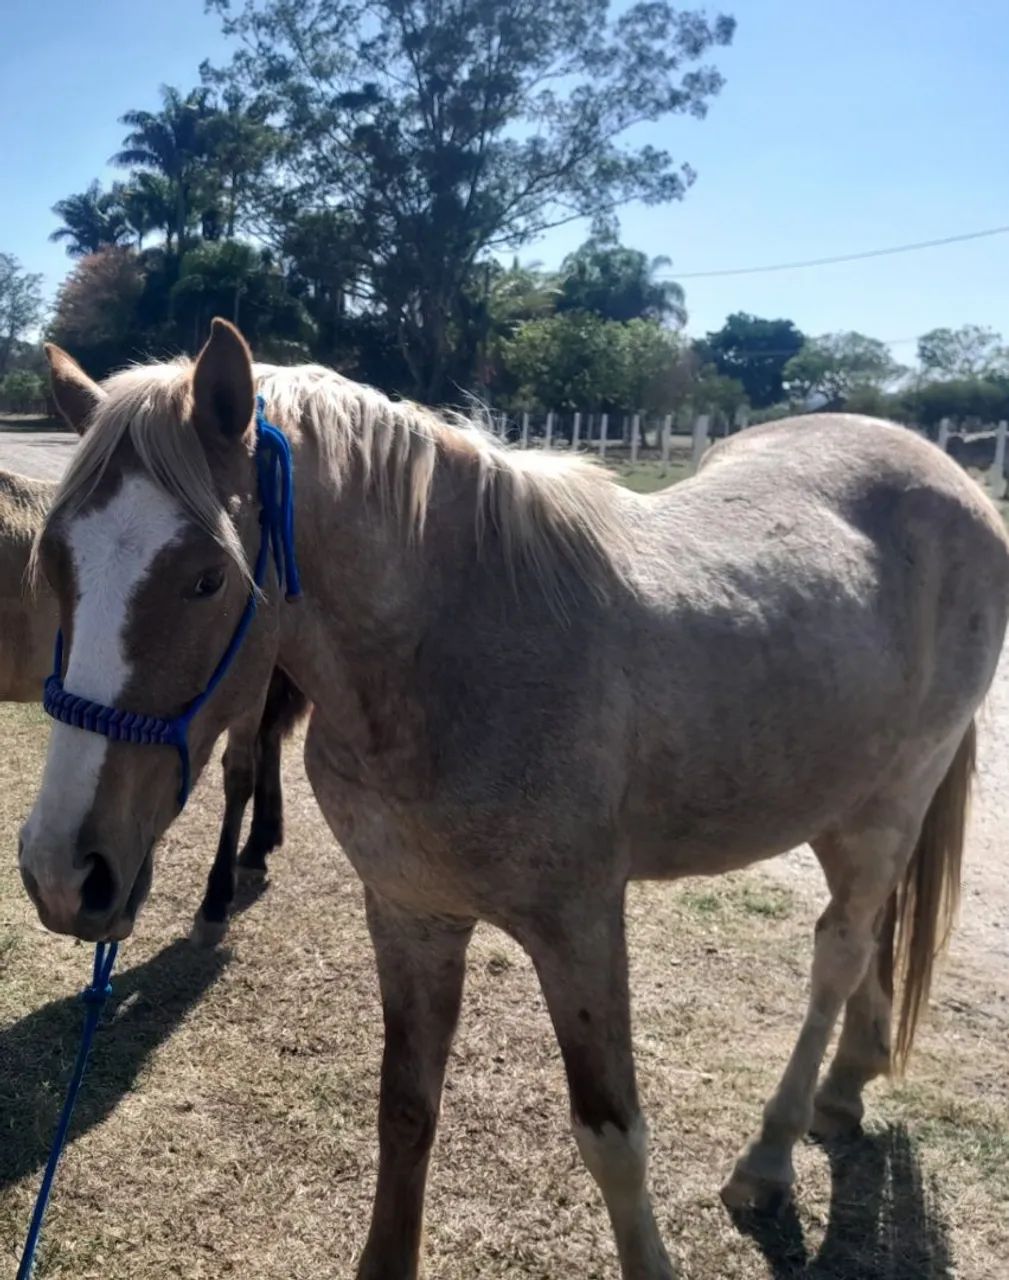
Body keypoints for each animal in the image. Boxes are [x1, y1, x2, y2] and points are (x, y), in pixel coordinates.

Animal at [0, 462, 306, 945]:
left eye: (210, 580)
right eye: (50, 567)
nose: (59, 878)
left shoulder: (251, 688)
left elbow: (239, 775)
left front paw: (215, 901)